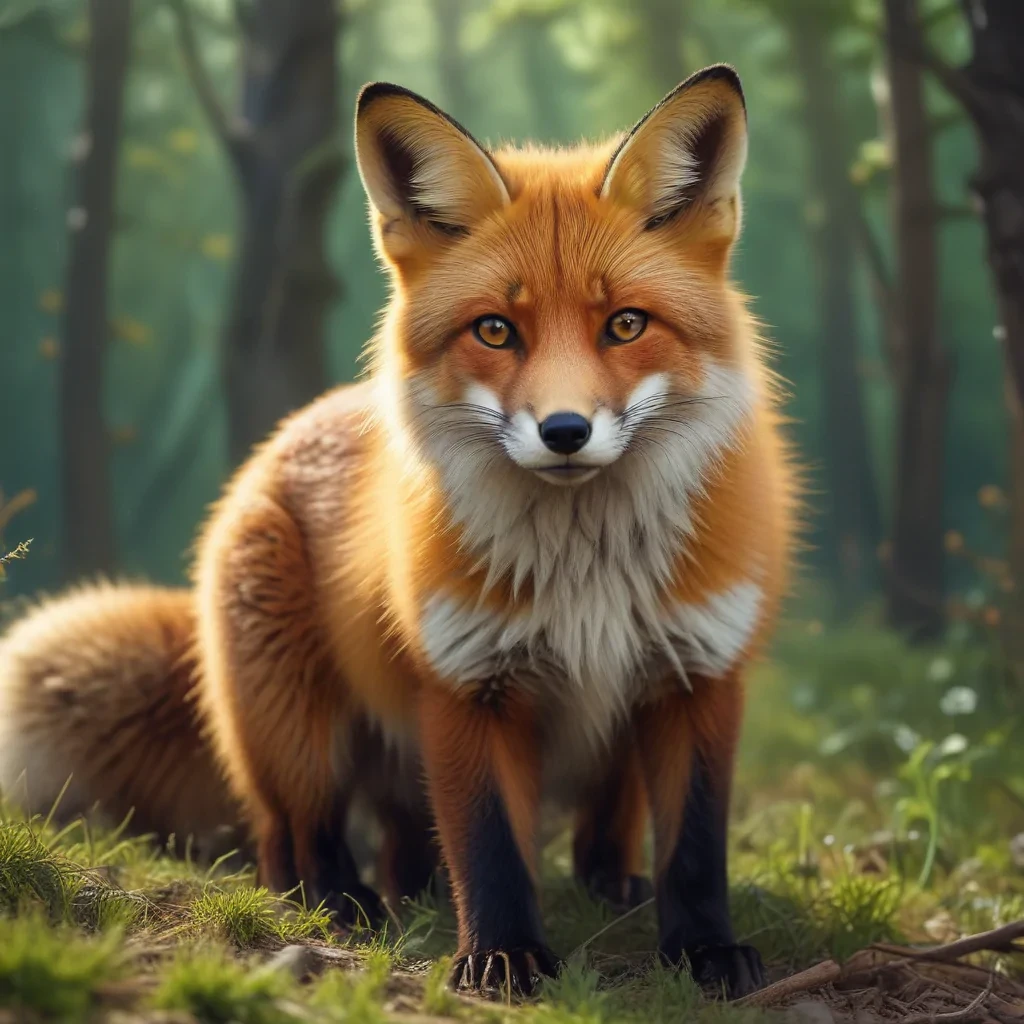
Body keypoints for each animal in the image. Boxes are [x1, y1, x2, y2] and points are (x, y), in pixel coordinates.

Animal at [0, 65, 795, 997]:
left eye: (625, 324)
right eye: (496, 330)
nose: (564, 431)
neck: (585, 576)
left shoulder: (699, 675)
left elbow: (696, 848)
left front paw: (704, 951)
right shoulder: (465, 683)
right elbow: (489, 845)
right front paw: (503, 958)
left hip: (591, 749)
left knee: (533, 834)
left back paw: (591, 888)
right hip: (295, 732)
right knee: (293, 838)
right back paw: (339, 907)